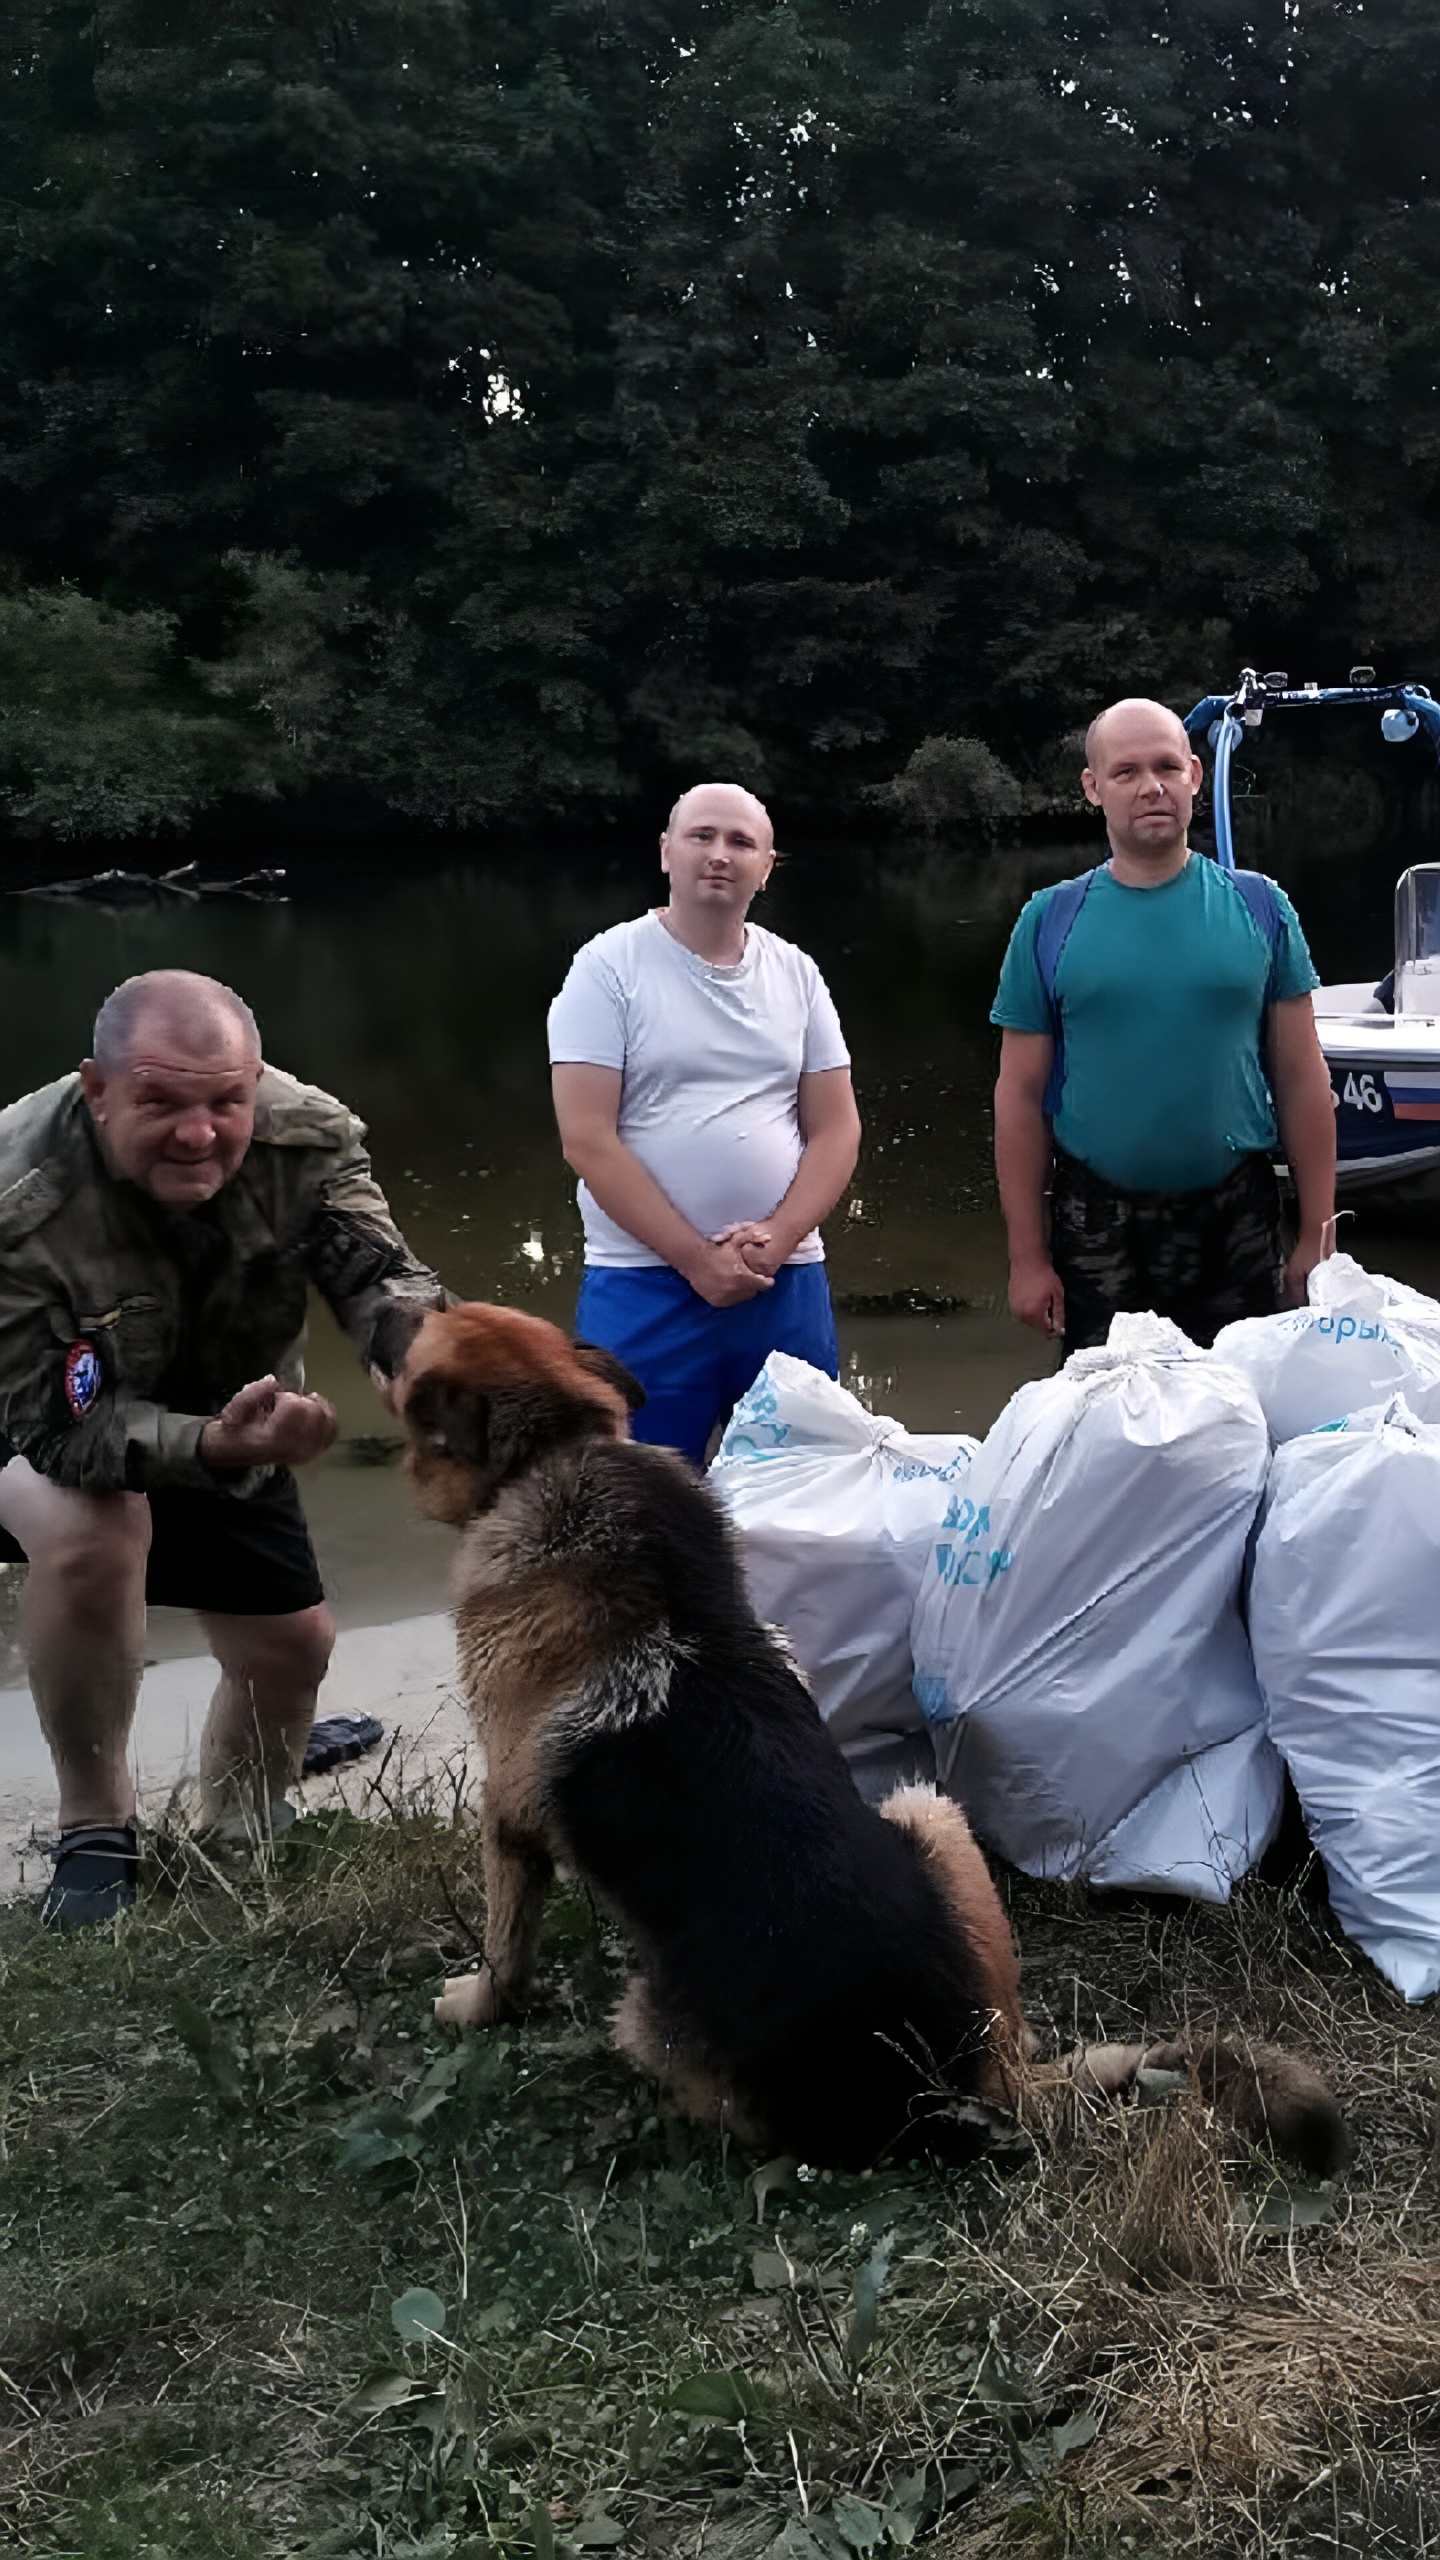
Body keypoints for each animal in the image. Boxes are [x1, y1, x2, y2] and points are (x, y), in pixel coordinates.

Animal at [394, 1300, 1342, 2181]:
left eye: (412, 1356)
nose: (403, 1298)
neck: (558, 1451)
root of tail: (957, 2079)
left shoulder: (506, 1812)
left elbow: (504, 1945)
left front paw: (475, 2006)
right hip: (929, 1816)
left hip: (646, 2017)